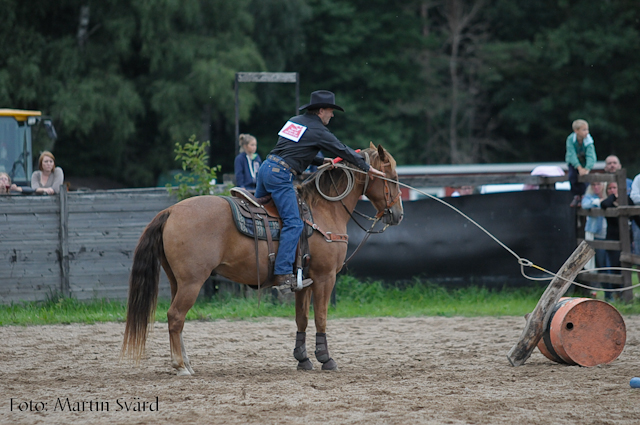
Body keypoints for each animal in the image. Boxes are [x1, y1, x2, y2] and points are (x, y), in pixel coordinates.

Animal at [122, 142, 402, 374]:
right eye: (393, 178)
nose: (398, 215)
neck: (323, 210)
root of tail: (170, 211)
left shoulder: (304, 281)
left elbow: (302, 318)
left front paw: (303, 359)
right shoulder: (325, 277)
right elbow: (321, 317)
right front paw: (326, 359)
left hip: (176, 281)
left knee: (176, 319)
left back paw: (187, 363)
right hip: (192, 282)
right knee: (175, 317)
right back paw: (181, 366)